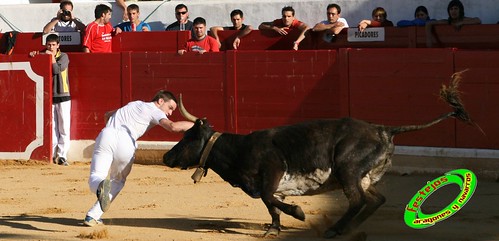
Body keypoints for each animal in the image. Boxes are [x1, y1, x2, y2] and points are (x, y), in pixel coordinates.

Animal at [163, 71, 476, 237]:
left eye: (187, 138)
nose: (167, 157)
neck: (239, 148)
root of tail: (383, 129)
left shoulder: (271, 171)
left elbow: (270, 198)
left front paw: (299, 213)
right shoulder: (266, 183)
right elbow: (270, 204)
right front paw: (273, 229)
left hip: (347, 169)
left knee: (358, 200)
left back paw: (335, 230)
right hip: (362, 175)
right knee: (374, 200)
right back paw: (349, 229)